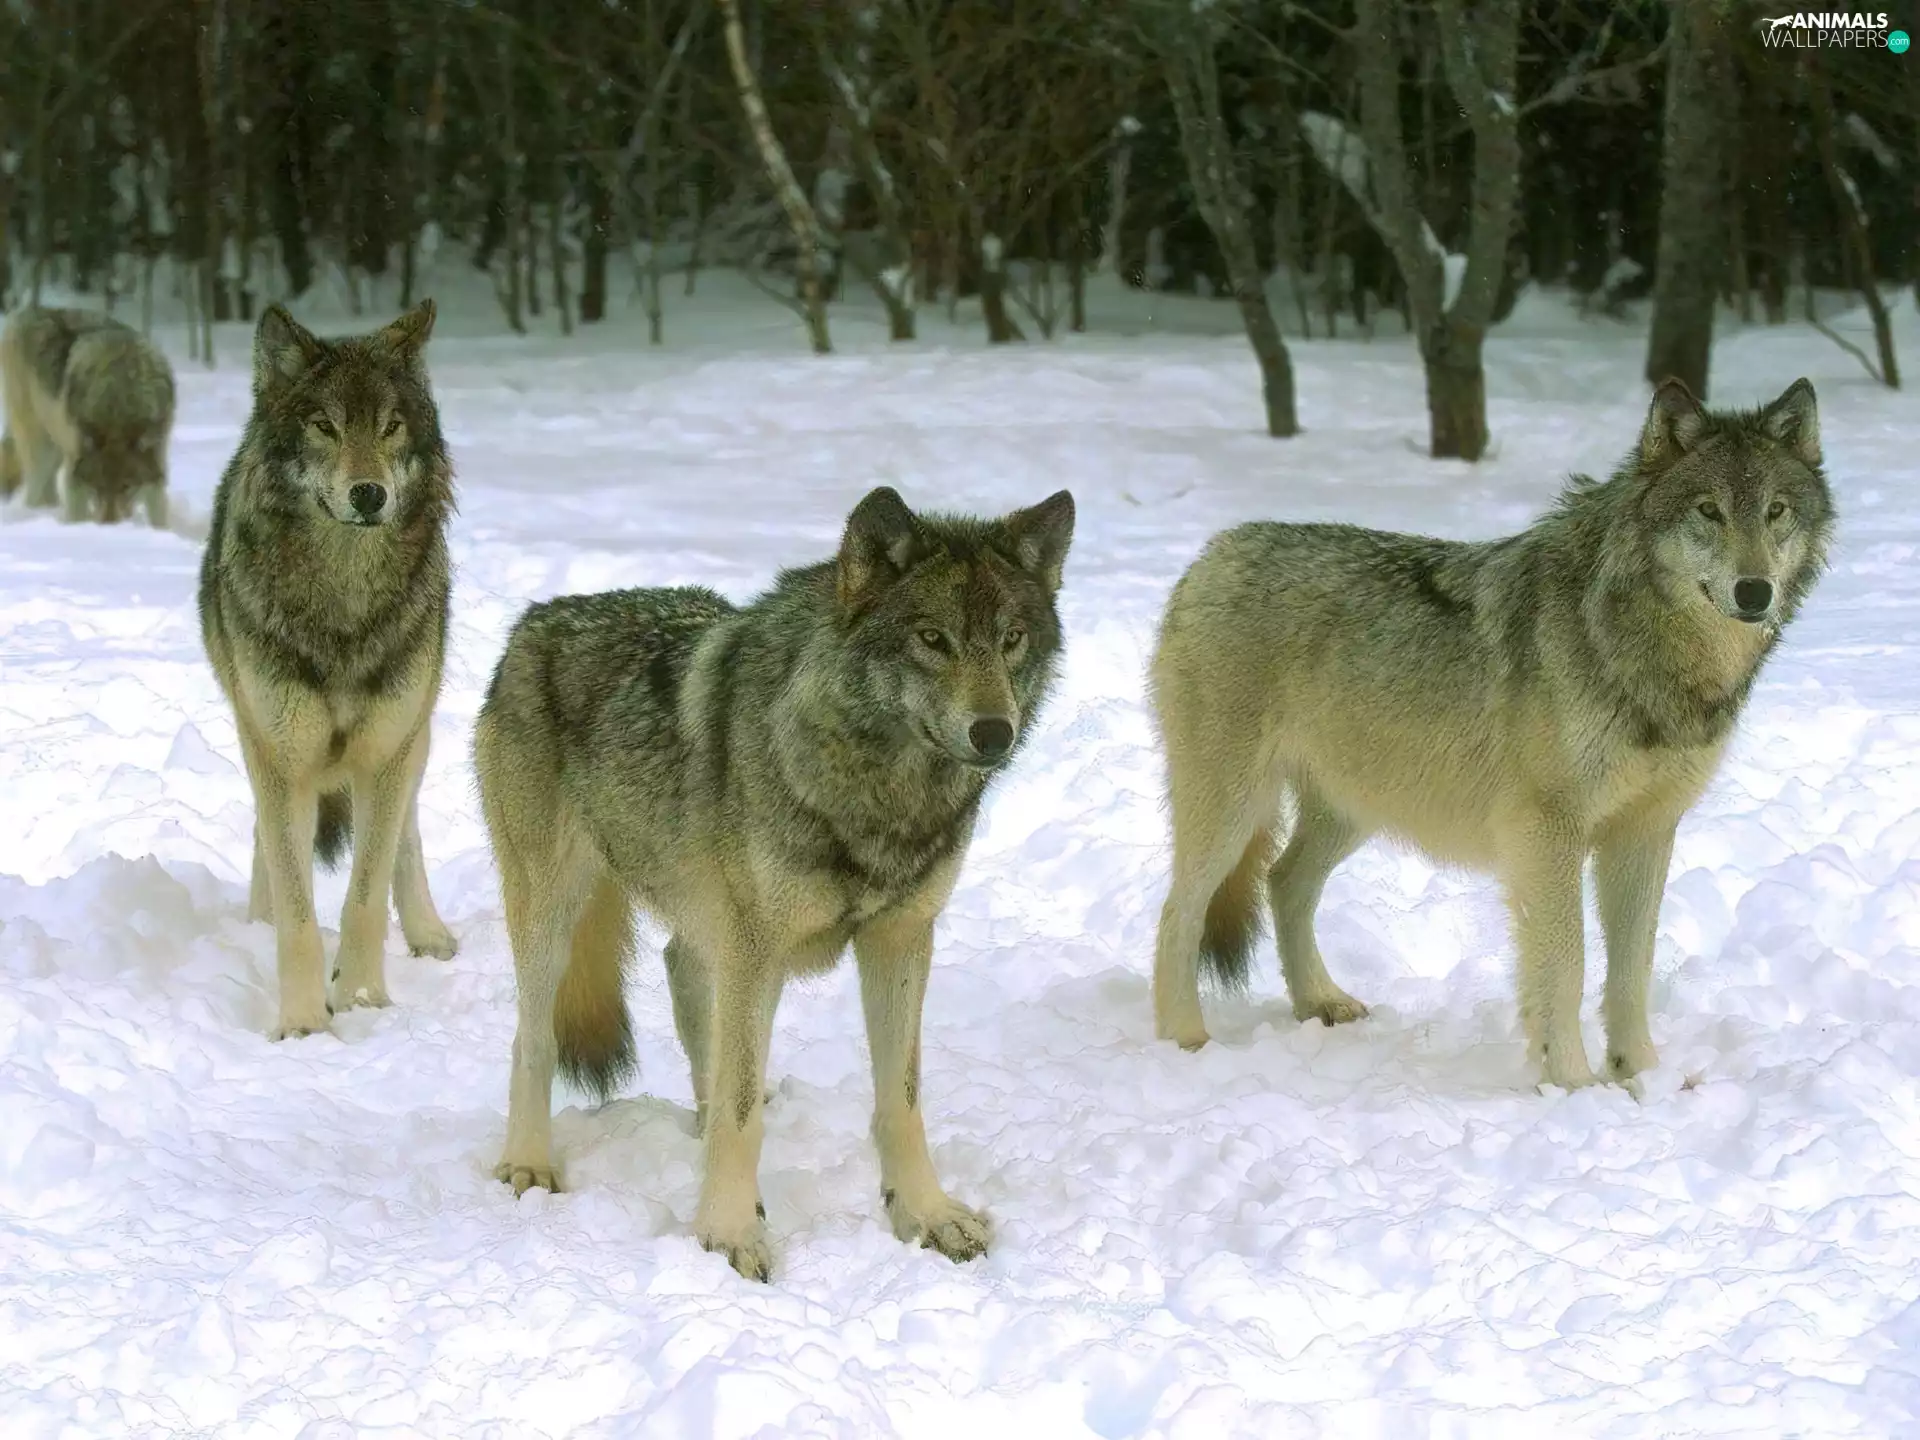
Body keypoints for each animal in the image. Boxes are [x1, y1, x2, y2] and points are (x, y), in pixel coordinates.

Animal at [0, 305, 175, 525]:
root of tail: (26, 311)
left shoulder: (158, 461)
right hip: (43, 449)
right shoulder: (77, 473)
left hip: (58, 450)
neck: (119, 402)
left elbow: (158, 513)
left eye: (126, 486)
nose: (109, 526)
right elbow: (77, 512)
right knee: (36, 490)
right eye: (98, 487)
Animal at [198, 299, 459, 1042]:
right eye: (325, 426)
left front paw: (365, 998)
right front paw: (304, 1024)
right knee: (269, 844)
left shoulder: (387, 750)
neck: (344, 606)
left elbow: (366, 895)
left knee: (406, 836)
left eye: (391, 426)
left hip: (414, 733)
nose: (369, 493)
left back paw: (428, 933)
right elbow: (298, 909)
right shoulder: (280, 755)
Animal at [474, 484, 1075, 1281]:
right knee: (531, 1038)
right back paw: (529, 1164)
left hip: (706, 927)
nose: (994, 733)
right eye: (932, 638)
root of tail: (537, 619)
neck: (876, 791)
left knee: (686, 984)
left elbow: (901, 1102)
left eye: (1011, 639)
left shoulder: (900, 940)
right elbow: (742, 1119)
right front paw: (728, 1234)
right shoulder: (757, 950)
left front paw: (927, 1215)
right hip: (557, 914)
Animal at [1150, 377, 1834, 1091]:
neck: (1643, 650)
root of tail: (1213, 553)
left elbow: (1631, 973)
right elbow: (1567, 968)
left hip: (1352, 809)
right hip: (1236, 810)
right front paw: (1573, 1085)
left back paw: (1320, 1003)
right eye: (1708, 511)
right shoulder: (1546, 833)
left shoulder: (1645, 833)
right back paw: (1187, 1041)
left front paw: (1642, 1078)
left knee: (1282, 883)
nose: (1754, 592)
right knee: (1178, 912)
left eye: (1776, 511)